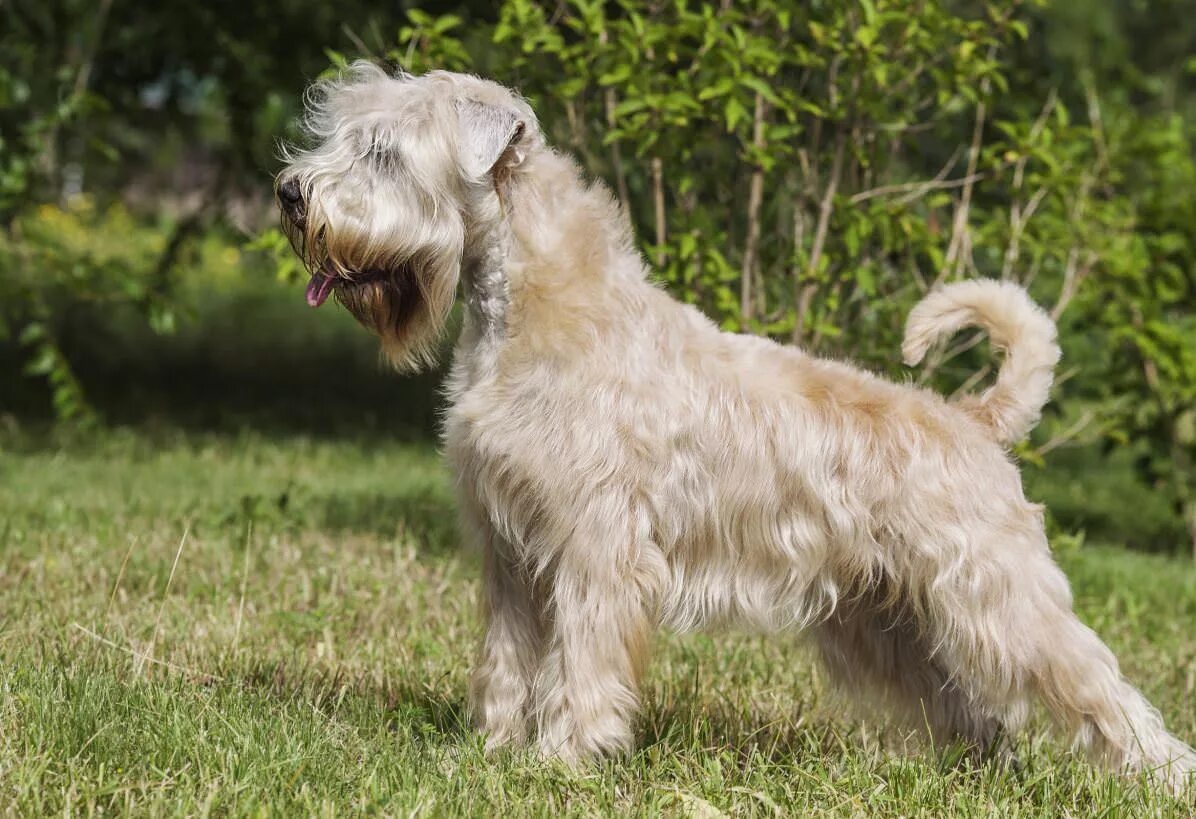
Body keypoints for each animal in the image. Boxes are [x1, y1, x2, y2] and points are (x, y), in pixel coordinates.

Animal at [275, 62, 1191, 784]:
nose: (290, 192)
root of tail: (974, 420)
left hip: (1003, 598)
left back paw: (1161, 777)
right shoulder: (508, 550)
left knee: (1101, 691)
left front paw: (564, 758)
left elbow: (582, 658)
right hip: (888, 620)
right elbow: (508, 659)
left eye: (385, 151)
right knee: (973, 711)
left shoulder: (594, 546)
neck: (530, 313)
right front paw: (493, 751)